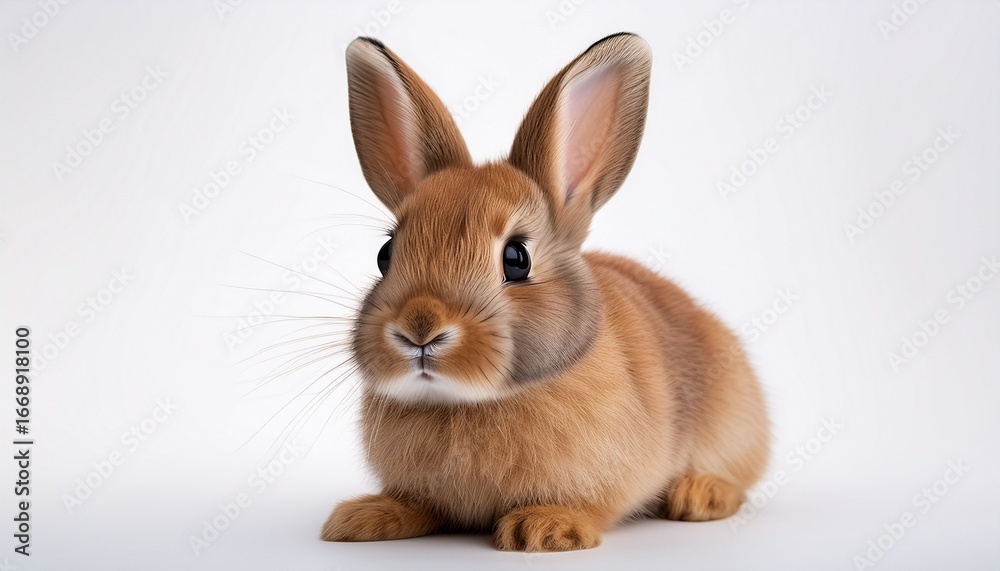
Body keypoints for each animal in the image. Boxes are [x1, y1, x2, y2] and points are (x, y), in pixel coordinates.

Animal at [320, 32, 770, 552]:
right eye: (385, 254)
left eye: (517, 259)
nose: (420, 327)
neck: (465, 401)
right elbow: (417, 504)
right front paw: (363, 519)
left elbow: (591, 505)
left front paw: (544, 529)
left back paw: (698, 495)